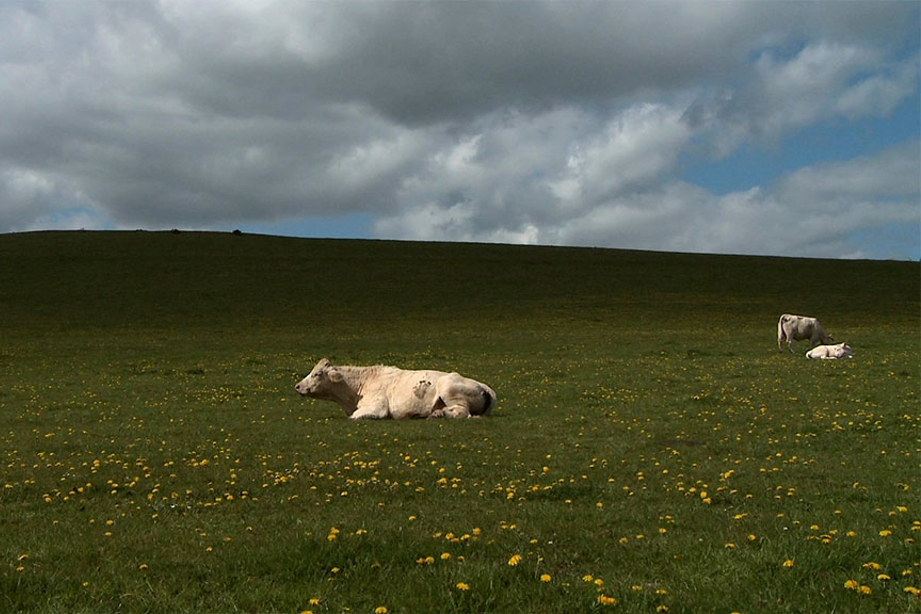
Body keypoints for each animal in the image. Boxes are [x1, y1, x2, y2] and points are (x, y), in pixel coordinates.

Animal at [294, 358, 497, 420]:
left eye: (317, 374)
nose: (297, 386)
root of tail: (484, 386)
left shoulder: (378, 407)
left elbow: (355, 417)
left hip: (449, 389)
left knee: (462, 413)